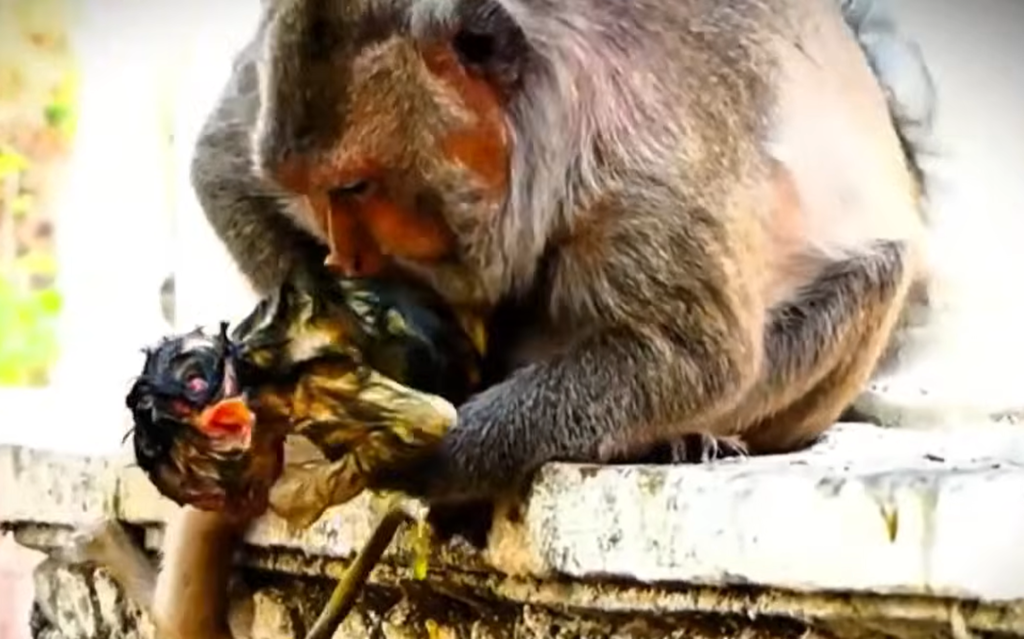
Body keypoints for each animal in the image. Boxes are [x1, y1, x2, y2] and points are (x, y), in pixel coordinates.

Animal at [70, 1, 938, 638]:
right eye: (316, 193)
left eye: (354, 189)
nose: (346, 259)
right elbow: (219, 164)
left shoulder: (643, 166)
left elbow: (692, 354)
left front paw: (425, 458)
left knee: (871, 272)